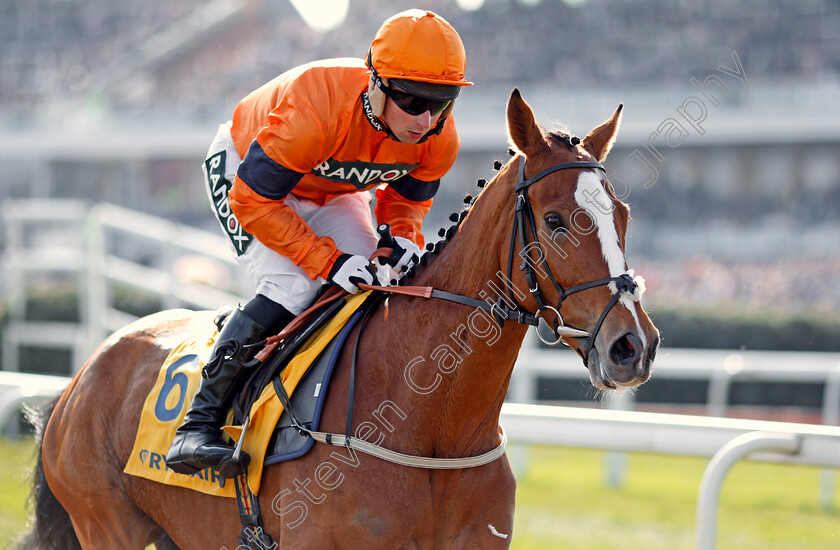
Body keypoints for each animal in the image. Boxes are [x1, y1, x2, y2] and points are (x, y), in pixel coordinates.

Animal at [19, 90, 660, 550]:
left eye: (624, 215)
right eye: (555, 221)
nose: (633, 345)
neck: (430, 422)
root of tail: (80, 377)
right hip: (106, 524)